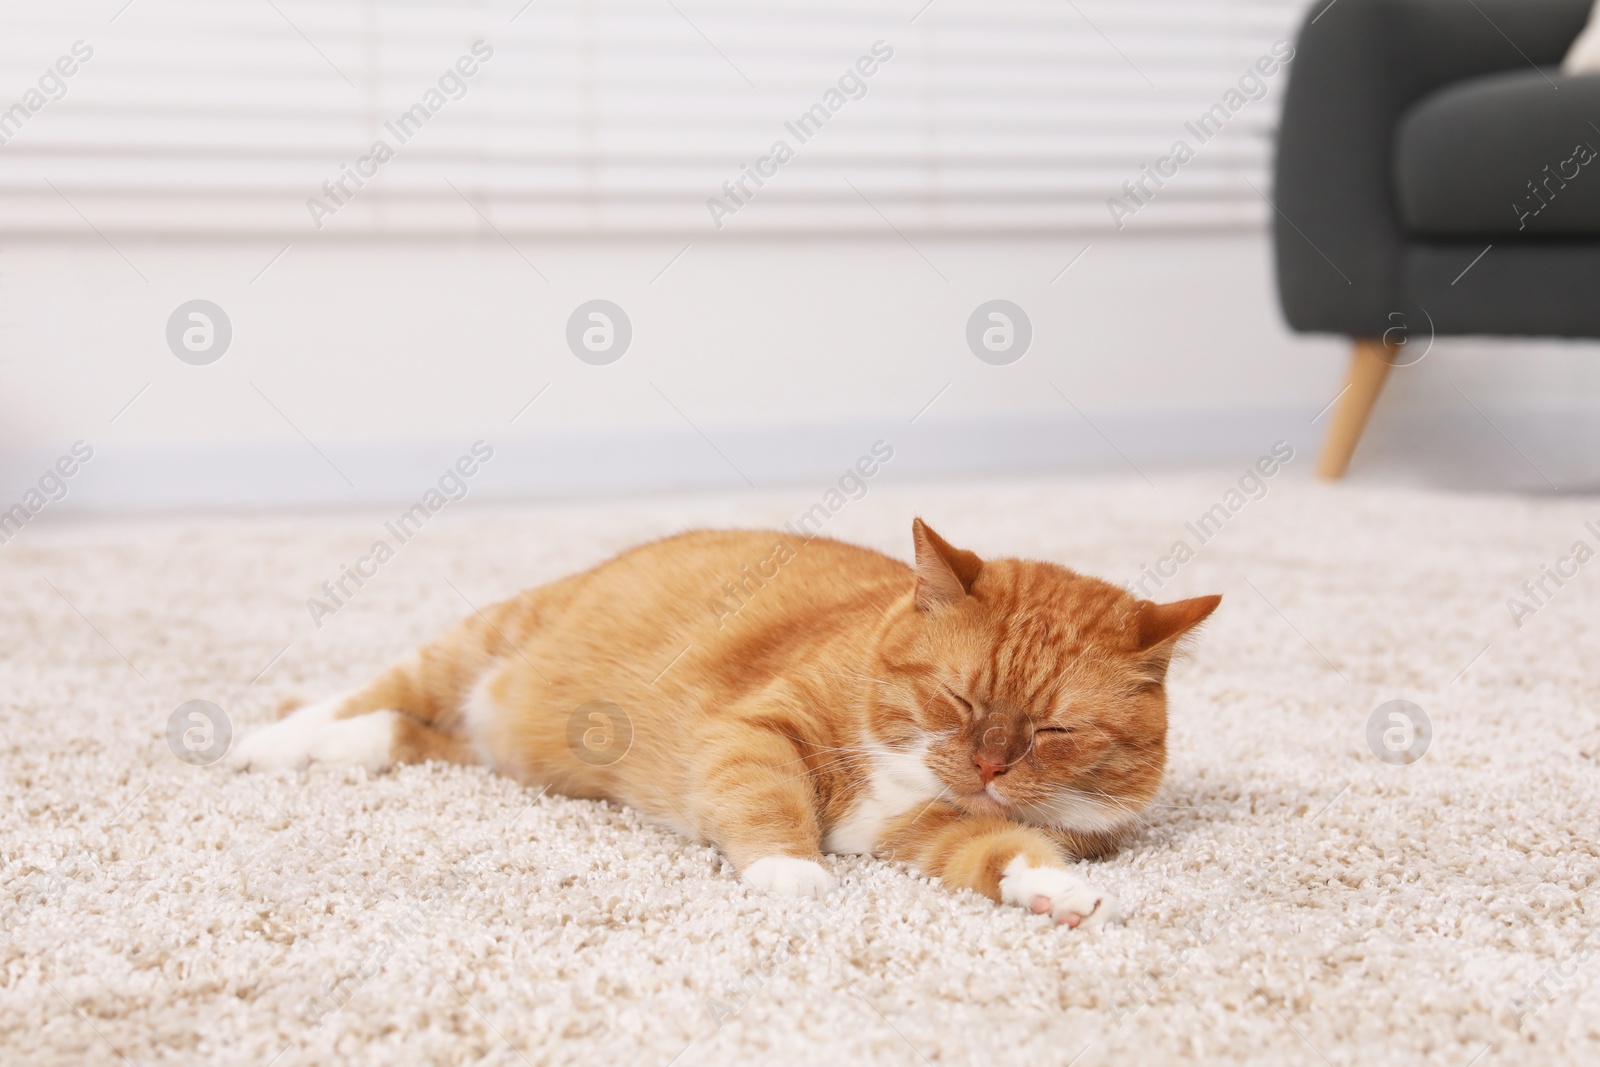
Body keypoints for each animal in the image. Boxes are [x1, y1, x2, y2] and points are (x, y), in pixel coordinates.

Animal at [232, 521, 1216, 927]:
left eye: (1053, 732)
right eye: (961, 699)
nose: (988, 767)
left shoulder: (936, 833)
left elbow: (1004, 849)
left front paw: (1058, 892)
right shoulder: (758, 729)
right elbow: (766, 796)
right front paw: (791, 871)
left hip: (503, 751)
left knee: (417, 735)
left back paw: (352, 746)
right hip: (480, 638)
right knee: (369, 690)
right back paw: (271, 739)